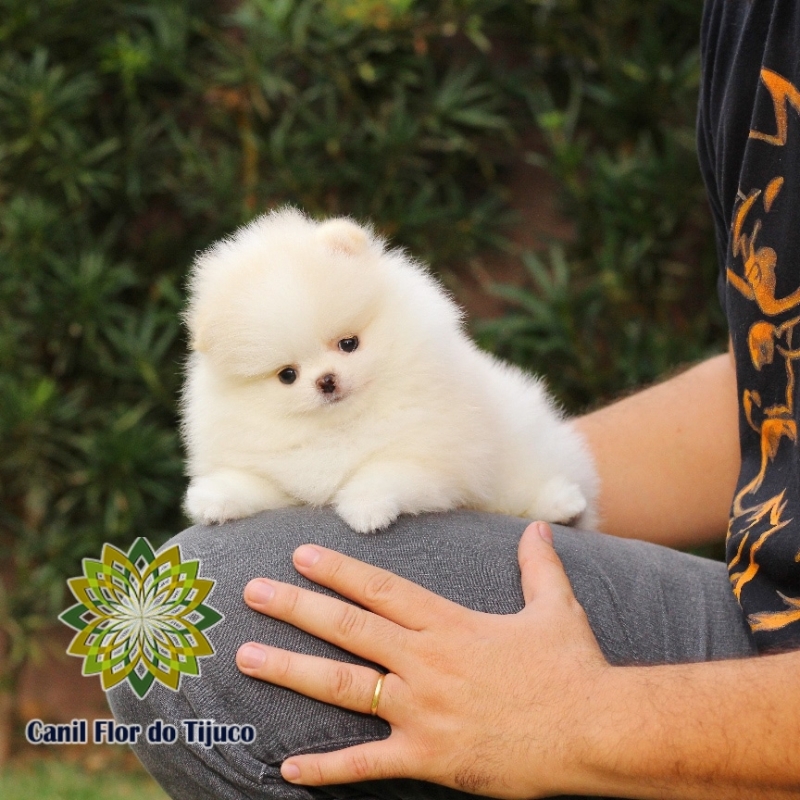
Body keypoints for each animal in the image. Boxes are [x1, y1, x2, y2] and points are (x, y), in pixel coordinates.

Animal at [180, 208, 592, 532]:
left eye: (348, 343)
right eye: (287, 375)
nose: (326, 380)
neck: (341, 426)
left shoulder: (433, 458)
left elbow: (385, 470)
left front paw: (366, 508)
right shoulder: (277, 472)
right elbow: (254, 483)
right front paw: (213, 498)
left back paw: (562, 506)